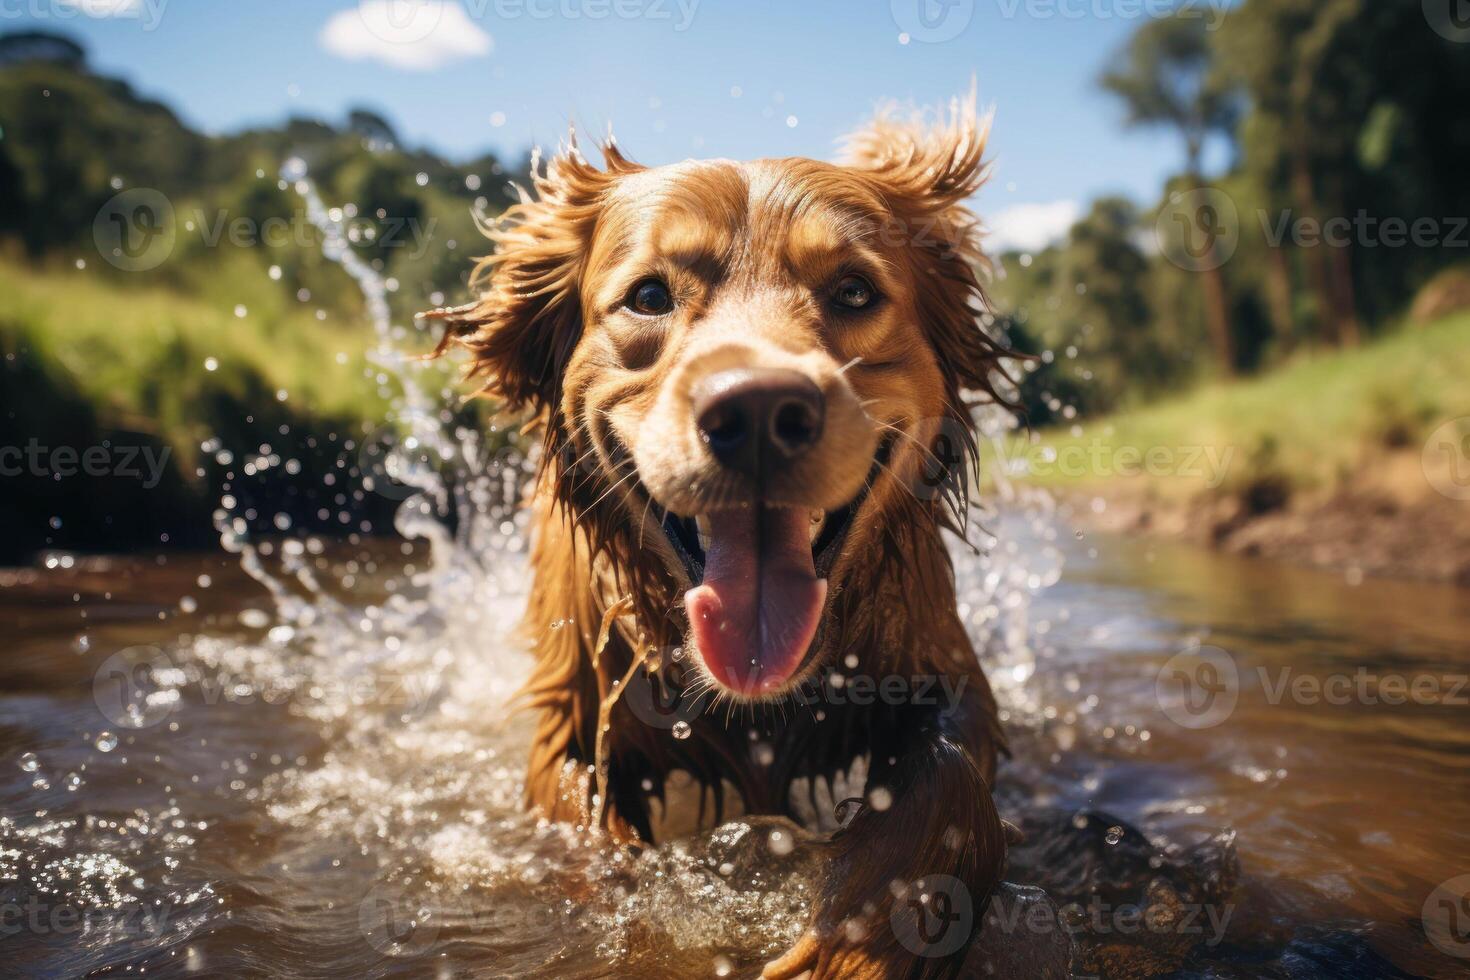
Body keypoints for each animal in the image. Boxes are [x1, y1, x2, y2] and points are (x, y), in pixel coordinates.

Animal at [429, 95, 1017, 975]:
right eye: (648, 296)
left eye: (852, 291)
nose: (761, 413)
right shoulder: (573, 712)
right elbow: (583, 832)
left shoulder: (938, 661)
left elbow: (948, 779)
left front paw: (855, 945)